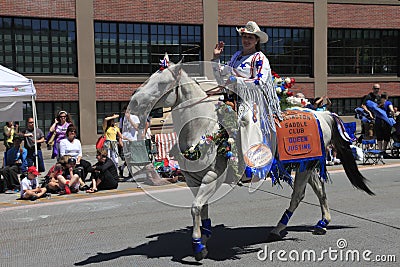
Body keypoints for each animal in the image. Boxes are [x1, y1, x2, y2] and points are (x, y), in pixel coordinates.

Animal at [129, 61, 376, 262]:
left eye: (162, 84)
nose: (134, 102)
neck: (203, 127)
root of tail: (320, 113)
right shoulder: (193, 179)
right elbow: (201, 208)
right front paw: (204, 237)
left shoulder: (213, 177)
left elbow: (196, 207)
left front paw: (198, 246)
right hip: (307, 164)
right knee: (319, 190)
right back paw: (321, 224)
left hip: (306, 166)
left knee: (299, 195)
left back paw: (278, 229)